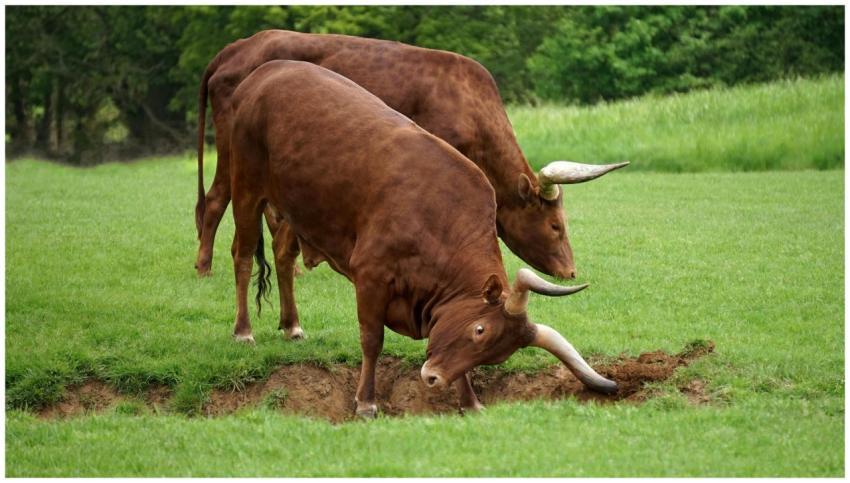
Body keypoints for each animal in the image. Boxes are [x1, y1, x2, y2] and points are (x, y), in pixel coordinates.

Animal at [195, 29, 628, 287]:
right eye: (555, 225)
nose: (570, 271)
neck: (468, 104)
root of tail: (233, 50)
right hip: (235, 150)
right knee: (216, 201)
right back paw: (205, 266)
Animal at [226, 60, 617, 418]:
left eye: (494, 354)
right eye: (479, 330)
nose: (432, 378)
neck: (437, 215)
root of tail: (267, 71)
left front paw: (470, 401)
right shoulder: (371, 277)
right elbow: (372, 340)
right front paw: (366, 402)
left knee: (281, 255)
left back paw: (291, 325)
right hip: (245, 186)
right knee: (242, 256)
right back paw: (243, 331)